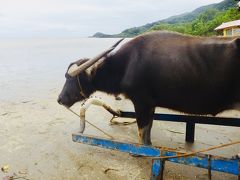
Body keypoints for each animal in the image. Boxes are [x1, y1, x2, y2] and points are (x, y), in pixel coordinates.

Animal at [58, 31, 240, 145]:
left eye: (70, 78)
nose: (60, 99)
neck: (126, 64)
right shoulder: (151, 105)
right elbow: (148, 131)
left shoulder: (142, 103)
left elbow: (142, 133)